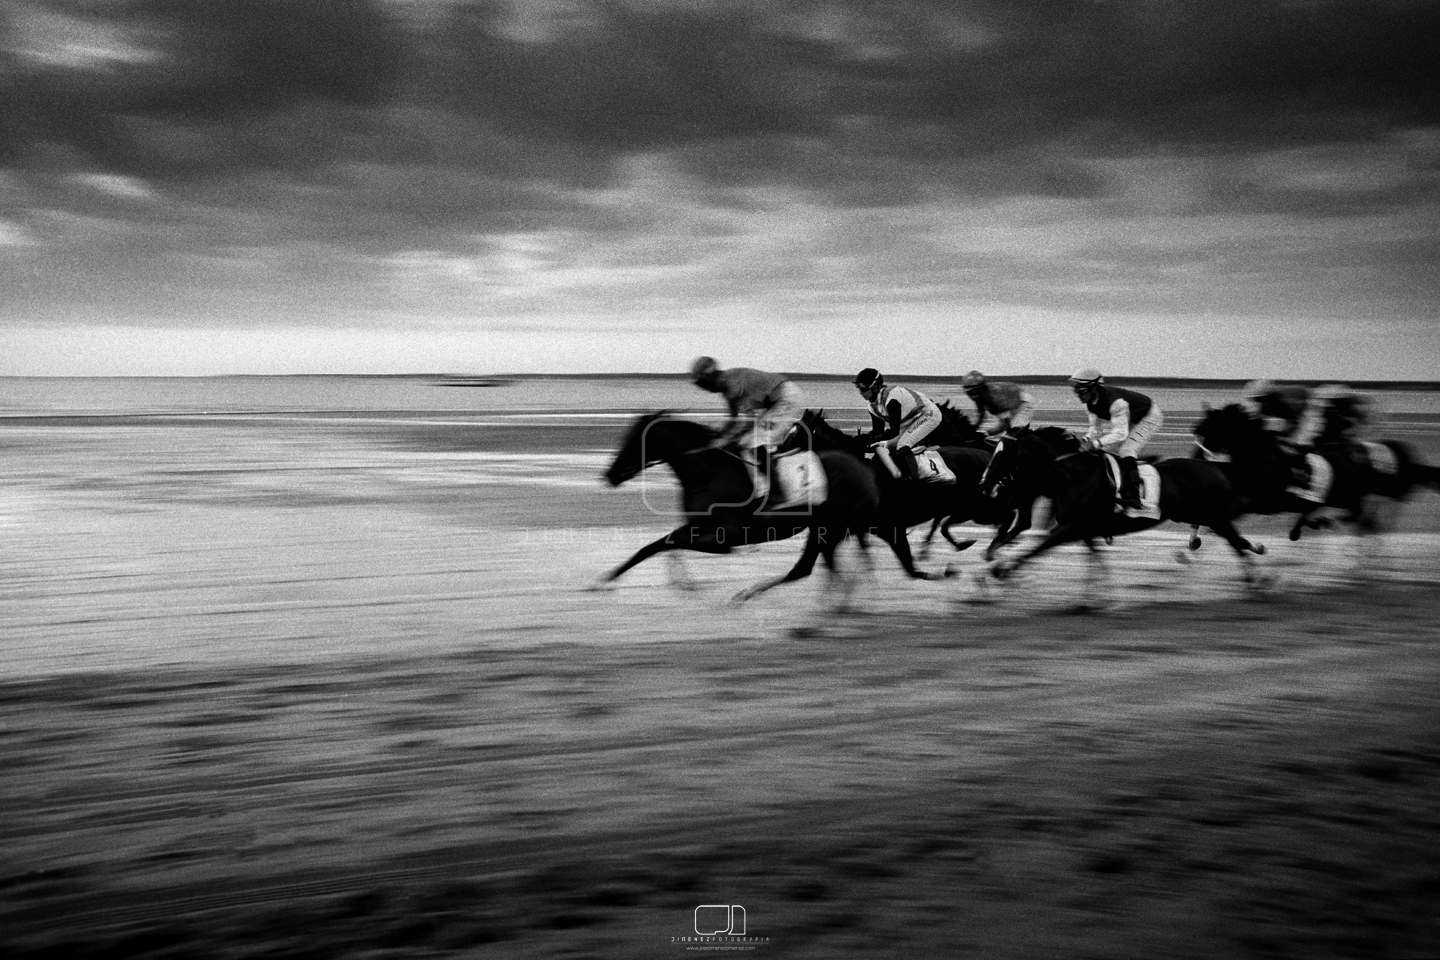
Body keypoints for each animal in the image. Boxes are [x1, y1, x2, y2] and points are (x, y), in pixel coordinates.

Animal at [599, 411, 944, 601]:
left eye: (634, 442)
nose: (610, 475)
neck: (710, 472)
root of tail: (865, 469)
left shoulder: (727, 538)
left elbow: (663, 543)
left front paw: (607, 580)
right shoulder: (698, 526)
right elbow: (660, 544)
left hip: (830, 525)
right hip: (830, 527)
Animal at [973, 426, 1267, 595]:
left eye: (1004, 452)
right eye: (995, 448)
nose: (984, 484)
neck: (1073, 475)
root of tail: (1216, 467)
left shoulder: (1068, 529)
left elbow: (1036, 549)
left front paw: (1001, 571)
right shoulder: (1082, 528)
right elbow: (1096, 558)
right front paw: (1097, 596)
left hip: (1212, 515)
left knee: (1235, 541)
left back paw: (1258, 575)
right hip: (1198, 515)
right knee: (1234, 540)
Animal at [1192, 402, 1440, 544]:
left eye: (1213, 429)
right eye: (1202, 429)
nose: (1198, 454)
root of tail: (1349, 459)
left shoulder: (1263, 502)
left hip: (1348, 495)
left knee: (1356, 514)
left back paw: (1322, 522)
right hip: (1340, 497)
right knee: (1340, 513)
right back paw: (1307, 526)